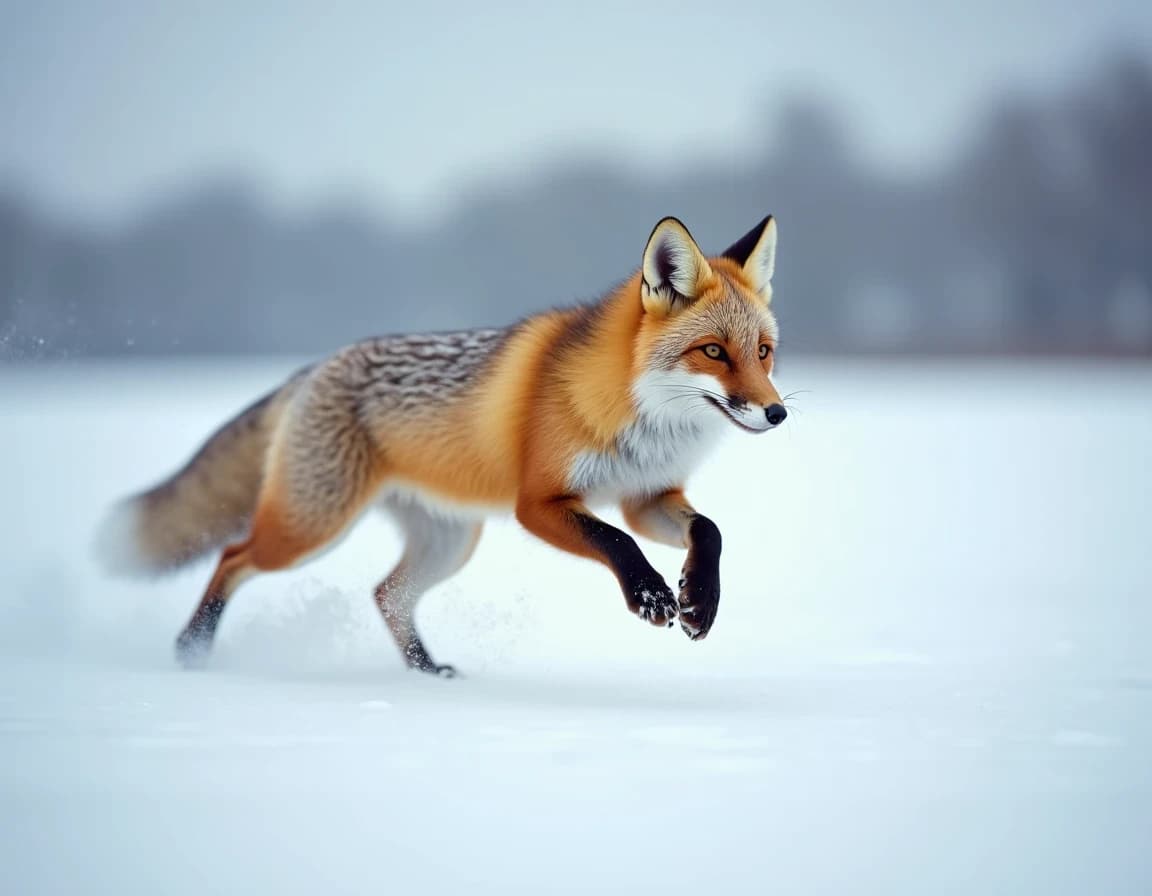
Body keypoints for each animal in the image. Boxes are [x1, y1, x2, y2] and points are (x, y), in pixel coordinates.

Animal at [98, 215, 786, 676]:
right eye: (713, 352)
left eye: (762, 352)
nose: (777, 412)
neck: (637, 416)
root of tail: (314, 367)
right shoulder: (539, 504)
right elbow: (615, 542)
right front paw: (650, 595)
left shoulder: (645, 496)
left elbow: (709, 532)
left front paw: (700, 600)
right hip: (309, 526)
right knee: (232, 556)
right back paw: (192, 649)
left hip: (448, 541)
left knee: (386, 594)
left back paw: (426, 673)